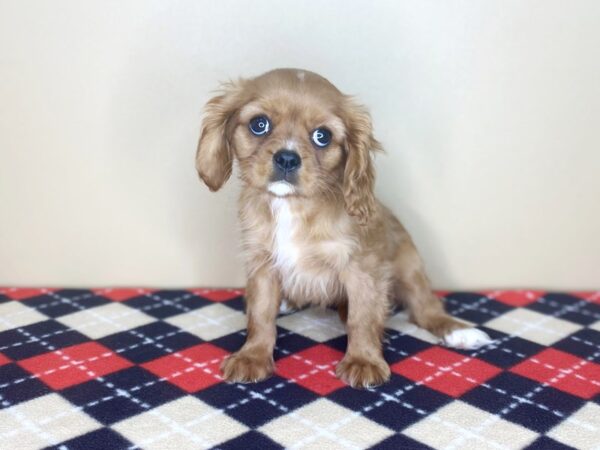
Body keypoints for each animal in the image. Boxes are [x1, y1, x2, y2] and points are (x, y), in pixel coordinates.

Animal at [197, 68, 492, 388]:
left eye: (322, 136)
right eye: (259, 124)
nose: (287, 157)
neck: (293, 206)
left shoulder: (362, 268)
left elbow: (361, 318)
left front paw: (363, 360)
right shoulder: (262, 263)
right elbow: (261, 314)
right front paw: (253, 356)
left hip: (410, 267)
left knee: (425, 309)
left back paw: (457, 331)